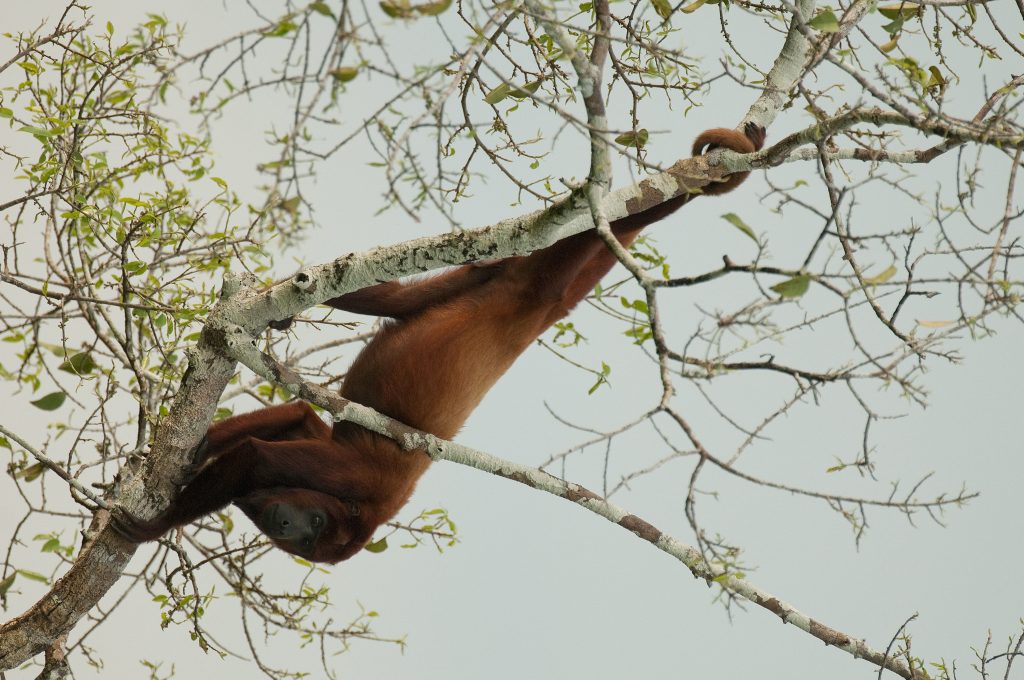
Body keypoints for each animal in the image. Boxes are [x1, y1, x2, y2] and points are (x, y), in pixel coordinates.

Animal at [114, 123, 770, 561]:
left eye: (311, 536)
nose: (287, 529)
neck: (365, 511)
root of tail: (536, 312)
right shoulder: (359, 478)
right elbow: (255, 457)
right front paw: (153, 526)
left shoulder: (333, 456)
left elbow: (288, 420)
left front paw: (194, 451)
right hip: (530, 281)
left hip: (484, 277)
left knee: (400, 297)